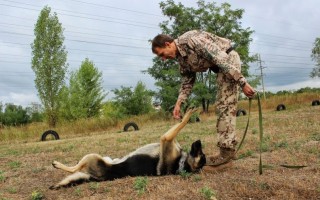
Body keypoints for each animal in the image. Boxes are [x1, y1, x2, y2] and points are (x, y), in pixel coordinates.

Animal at [49, 108, 206, 190]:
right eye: (201, 153)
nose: (199, 141)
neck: (180, 163)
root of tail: (100, 177)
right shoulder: (169, 139)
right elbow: (178, 126)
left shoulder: (166, 138)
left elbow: (181, 123)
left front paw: (188, 115)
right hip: (106, 157)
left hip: (92, 156)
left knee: (74, 169)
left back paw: (57, 164)